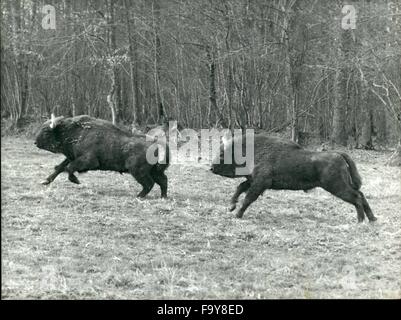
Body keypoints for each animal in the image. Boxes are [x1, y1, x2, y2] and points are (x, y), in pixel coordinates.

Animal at [34, 112, 169, 198]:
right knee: (163, 181)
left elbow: (69, 168)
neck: (73, 132)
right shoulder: (72, 157)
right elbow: (60, 167)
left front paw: (76, 181)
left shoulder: (88, 161)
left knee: (149, 184)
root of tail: (159, 144)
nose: (35, 142)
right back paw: (163, 197)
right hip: (155, 171)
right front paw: (45, 181)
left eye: (46, 131)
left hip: (138, 171)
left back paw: (138, 196)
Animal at [211, 133, 376, 222]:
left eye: (222, 154)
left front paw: (237, 214)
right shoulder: (253, 181)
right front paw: (231, 207)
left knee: (356, 197)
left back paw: (360, 221)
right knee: (361, 195)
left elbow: (248, 198)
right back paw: (372, 219)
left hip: (336, 187)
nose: (211, 168)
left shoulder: (260, 183)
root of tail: (338, 154)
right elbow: (240, 188)